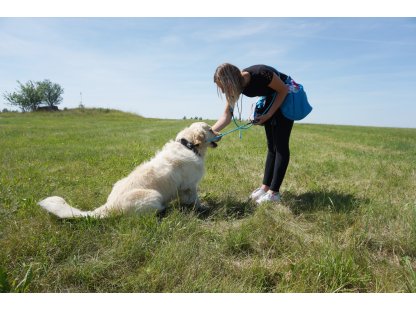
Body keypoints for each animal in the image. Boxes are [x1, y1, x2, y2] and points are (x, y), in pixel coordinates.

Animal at [38, 122, 219, 219]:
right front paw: (203, 208)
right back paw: (164, 210)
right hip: (154, 196)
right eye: (210, 129)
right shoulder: (190, 186)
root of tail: (109, 206)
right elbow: (195, 200)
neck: (188, 145)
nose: (220, 132)